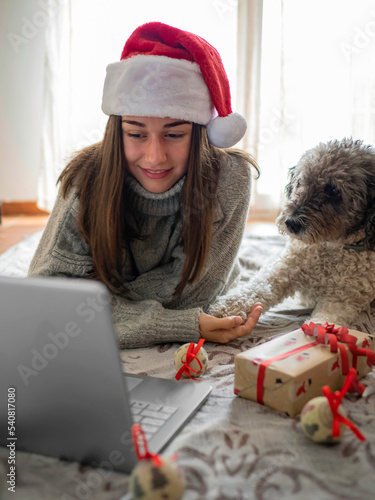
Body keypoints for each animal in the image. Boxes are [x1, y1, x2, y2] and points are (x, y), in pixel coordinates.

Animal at [210, 139, 375, 326]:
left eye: (334, 191)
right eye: (301, 182)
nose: (291, 223)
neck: (330, 247)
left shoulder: (342, 300)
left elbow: (323, 321)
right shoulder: (284, 270)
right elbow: (255, 288)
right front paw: (225, 310)